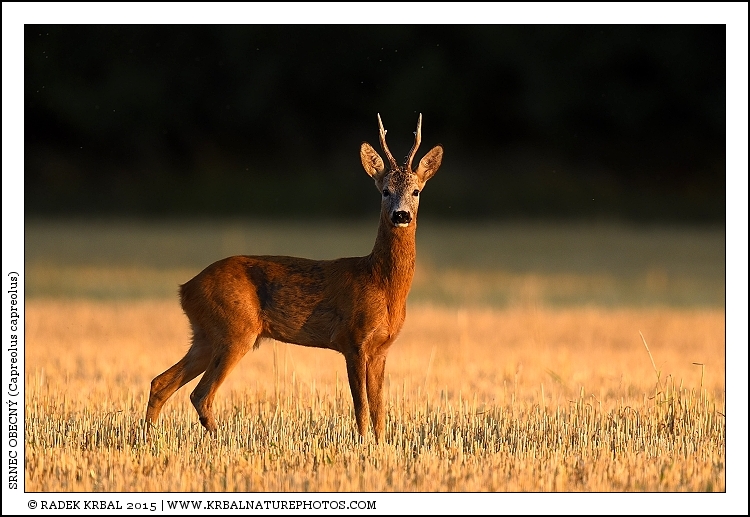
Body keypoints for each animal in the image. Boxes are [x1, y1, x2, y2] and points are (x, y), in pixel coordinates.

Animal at [145, 114, 443, 442]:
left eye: (416, 191)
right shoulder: (351, 339)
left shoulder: (381, 348)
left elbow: (379, 411)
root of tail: (185, 288)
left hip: (206, 335)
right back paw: (223, 439)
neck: (381, 283)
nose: (401, 215)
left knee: (160, 383)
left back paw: (147, 438)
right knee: (200, 394)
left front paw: (380, 446)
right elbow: (362, 408)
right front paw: (362, 444)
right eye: (385, 191)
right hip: (235, 330)